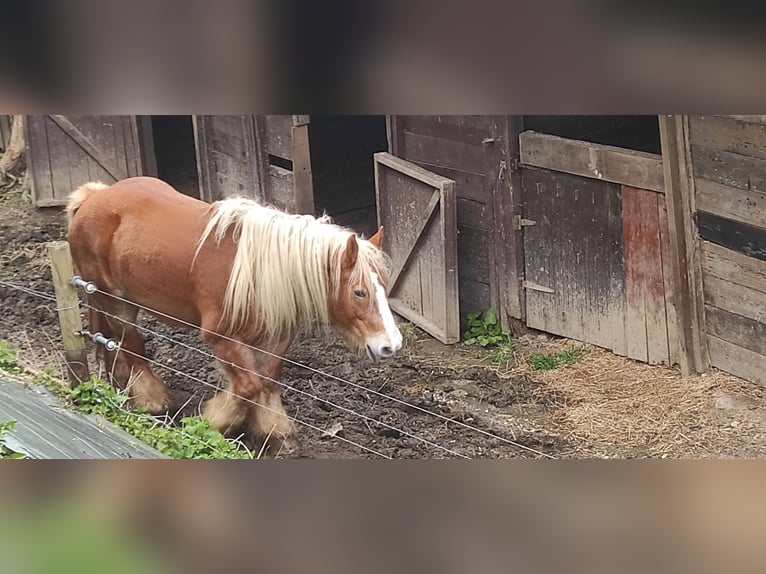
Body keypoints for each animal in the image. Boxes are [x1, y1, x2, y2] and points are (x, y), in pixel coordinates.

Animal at [66, 176, 404, 450]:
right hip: (114, 299)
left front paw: (276, 433)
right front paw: (213, 422)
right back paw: (152, 402)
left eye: (383, 285)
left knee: (115, 344)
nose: (391, 345)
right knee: (132, 345)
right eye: (359, 292)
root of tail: (94, 196)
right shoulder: (223, 338)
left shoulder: (274, 338)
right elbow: (248, 386)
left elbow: (267, 381)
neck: (262, 273)